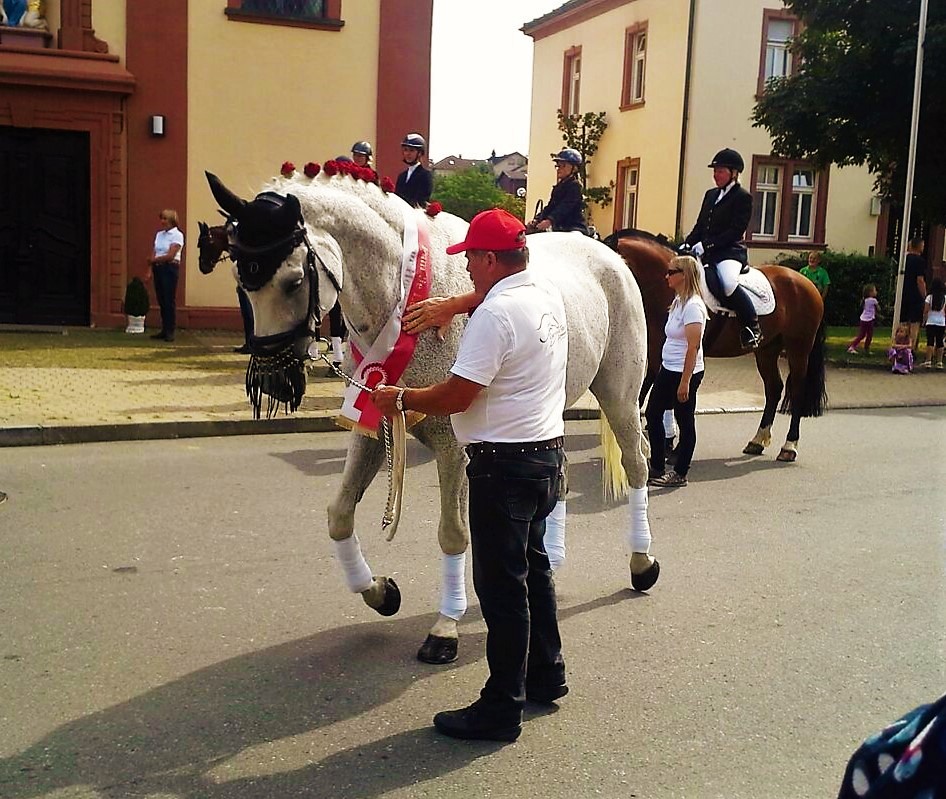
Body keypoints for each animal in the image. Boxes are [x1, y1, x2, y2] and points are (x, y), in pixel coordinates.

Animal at [199, 172, 656, 664]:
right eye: (240, 279)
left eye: (294, 279)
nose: (272, 381)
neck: (403, 299)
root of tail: (611, 256)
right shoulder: (372, 426)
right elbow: (340, 515)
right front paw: (380, 592)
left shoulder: (456, 448)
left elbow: (453, 534)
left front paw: (444, 629)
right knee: (560, 479)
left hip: (620, 396)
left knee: (636, 465)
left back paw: (642, 563)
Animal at [608, 228, 824, 462]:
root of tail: (806, 282)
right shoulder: (659, 354)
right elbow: (649, 390)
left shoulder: (682, 356)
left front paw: (668, 445)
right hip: (766, 350)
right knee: (774, 388)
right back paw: (757, 440)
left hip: (798, 348)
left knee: (797, 390)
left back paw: (789, 446)